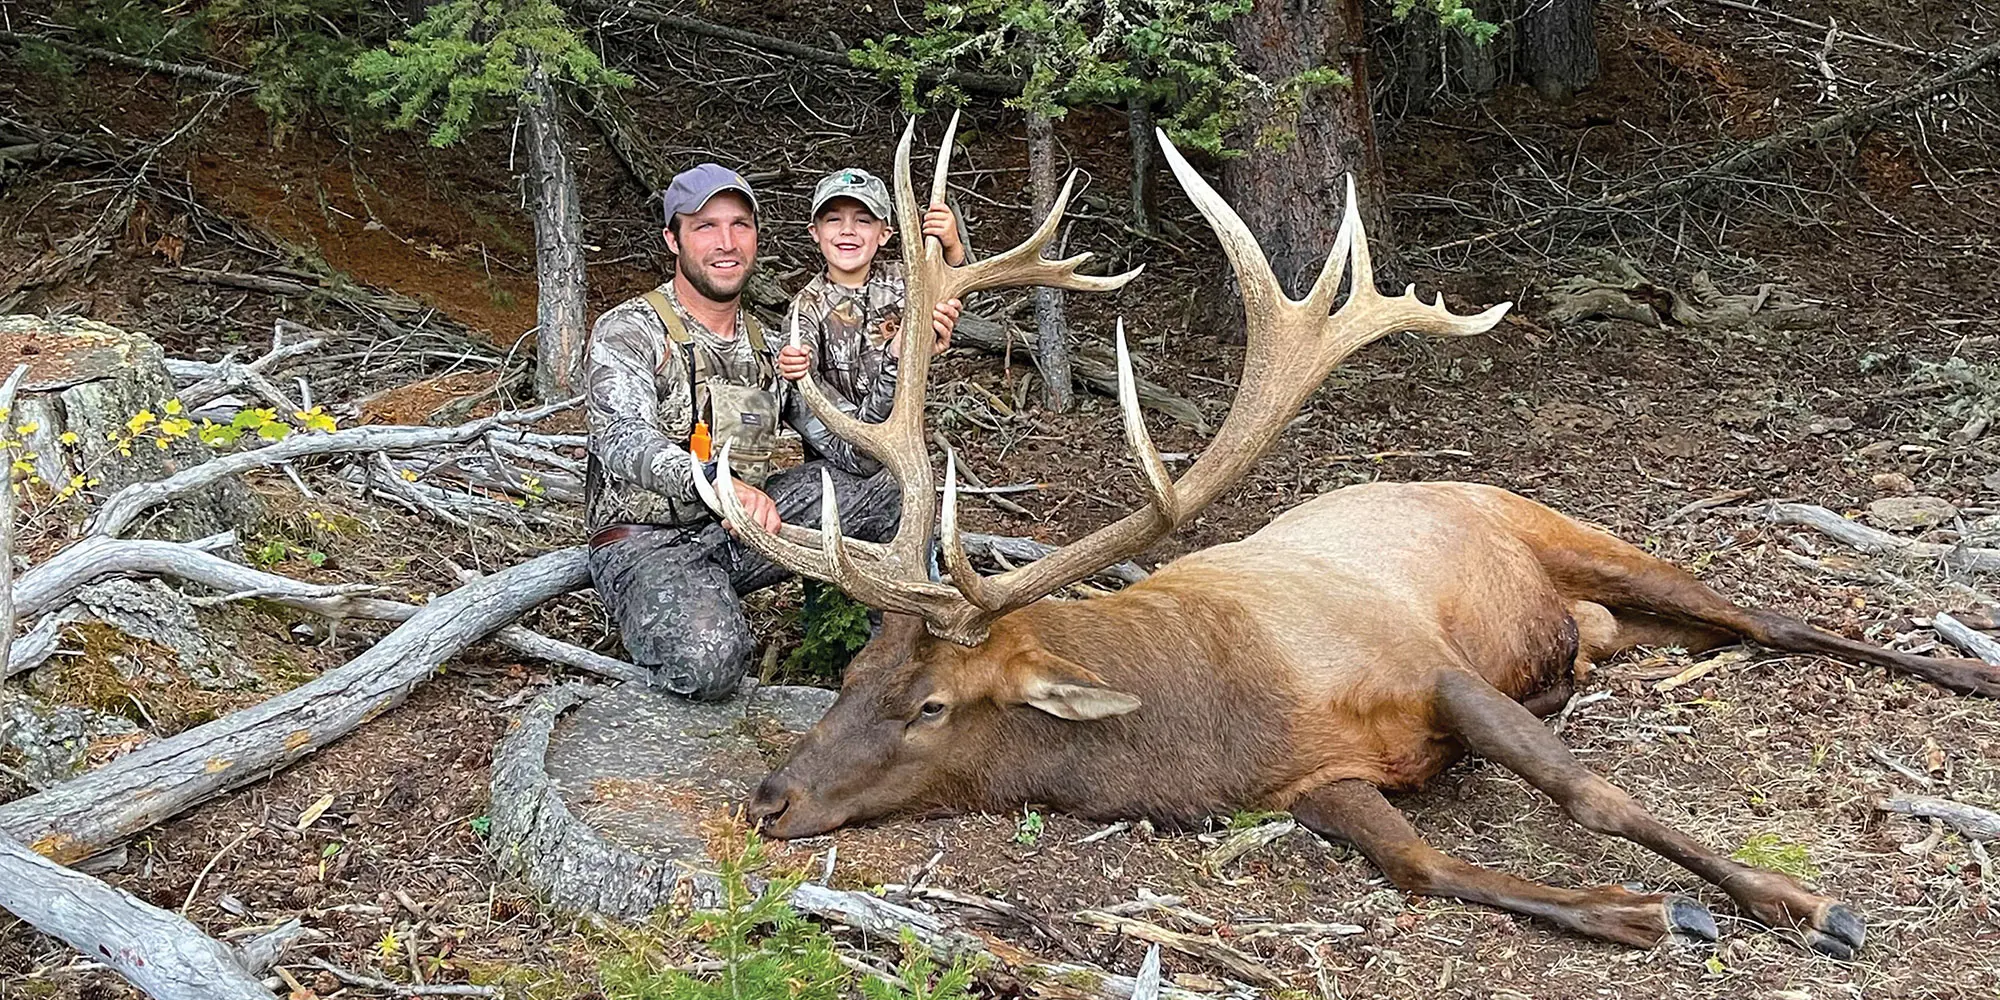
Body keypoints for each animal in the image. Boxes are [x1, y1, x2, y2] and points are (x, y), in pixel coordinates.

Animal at [692, 113, 2000, 956]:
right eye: (850, 673)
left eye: (927, 705)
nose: (766, 798)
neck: (1212, 714)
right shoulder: (1313, 783)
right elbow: (1420, 864)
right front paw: (1643, 912)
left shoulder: (1430, 666)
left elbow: (1592, 793)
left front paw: (1802, 905)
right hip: (1606, 619)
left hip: (1573, 530)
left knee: (1774, 617)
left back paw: (1959, 668)